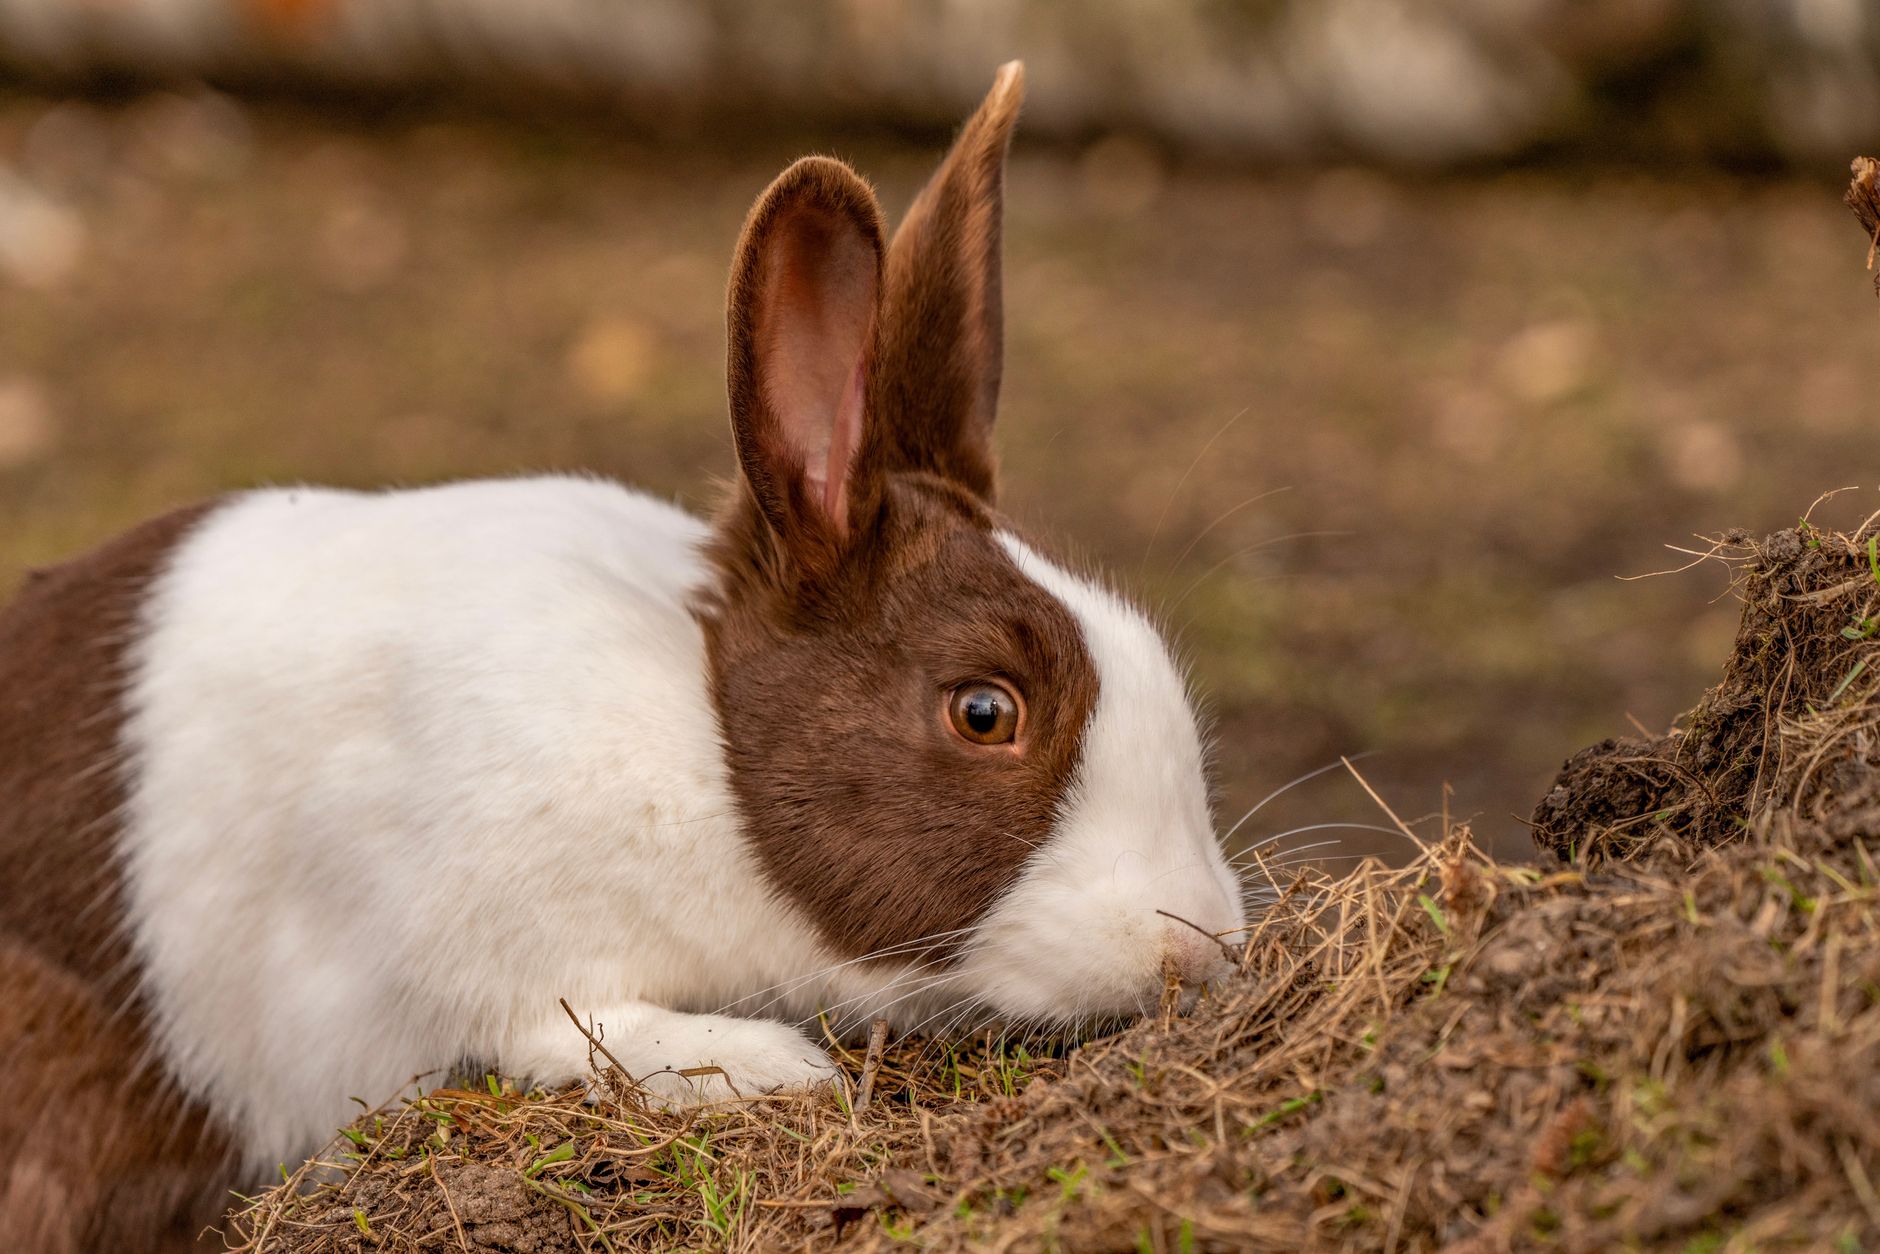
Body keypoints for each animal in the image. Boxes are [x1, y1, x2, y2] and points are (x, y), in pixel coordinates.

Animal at [0, 61, 1245, 1253]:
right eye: (985, 711)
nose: (1195, 950)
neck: (702, 752)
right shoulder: (469, 967)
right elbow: (571, 1034)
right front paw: (766, 1065)